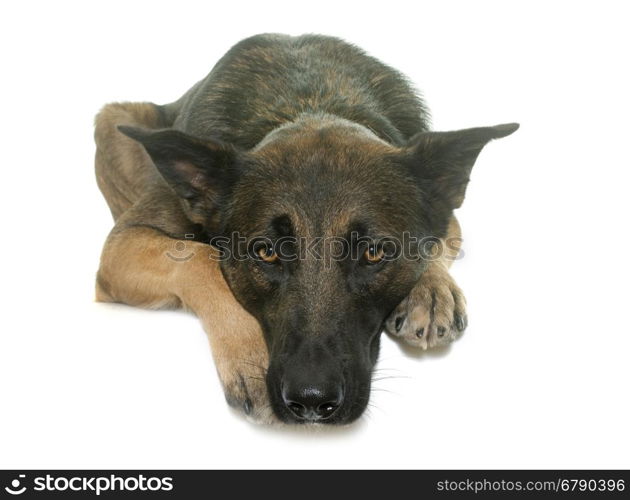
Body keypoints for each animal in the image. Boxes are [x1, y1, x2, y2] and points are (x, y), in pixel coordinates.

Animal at [94, 33, 520, 424]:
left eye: (374, 252)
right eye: (266, 252)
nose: (312, 402)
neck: (311, 106)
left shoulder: (449, 215)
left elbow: (436, 239)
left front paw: (430, 288)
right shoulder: (123, 243)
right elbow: (199, 256)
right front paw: (251, 351)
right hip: (110, 122)